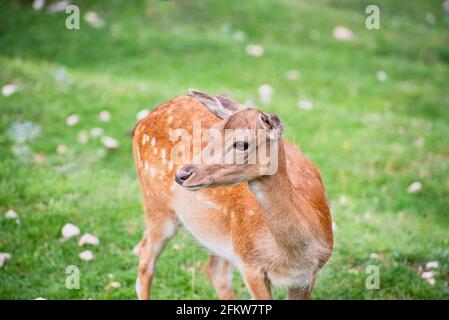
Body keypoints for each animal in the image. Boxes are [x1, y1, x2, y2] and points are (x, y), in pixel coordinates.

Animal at [131, 89, 330, 300]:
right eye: (212, 133)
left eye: (242, 144)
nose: (182, 174)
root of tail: (142, 120)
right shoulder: (249, 263)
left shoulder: (306, 277)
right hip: (155, 203)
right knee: (145, 257)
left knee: (213, 270)